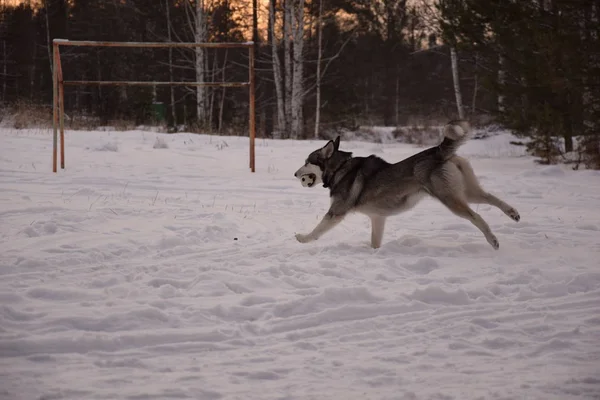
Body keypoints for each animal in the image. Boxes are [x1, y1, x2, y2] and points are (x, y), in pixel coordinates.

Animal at [292, 120, 516, 248]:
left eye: (306, 162)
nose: (294, 174)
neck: (339, 167)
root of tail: (438, 151)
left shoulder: (336, 212)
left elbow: (317, 231)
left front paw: (303, 238)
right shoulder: (378, 218)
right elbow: (375, 242)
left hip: (450, 198)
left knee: (476, 216)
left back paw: (493, 240)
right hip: (466, 191)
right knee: (490, 197)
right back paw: (513, 213)